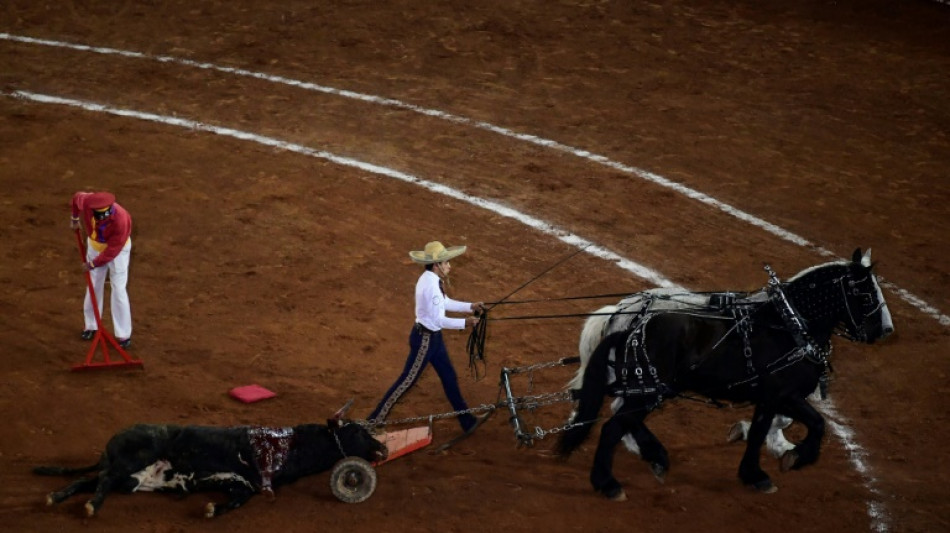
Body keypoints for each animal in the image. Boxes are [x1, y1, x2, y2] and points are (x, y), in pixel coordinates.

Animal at [33, 416, 388, 516]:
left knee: (89, 480)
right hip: (130, 462)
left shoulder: (236, 482)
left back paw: (56, 497)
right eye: (357, 431)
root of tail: (117, 436)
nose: (383, 448)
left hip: (128, 476)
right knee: (102, 480)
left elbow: (237, 499)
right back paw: (91, 506)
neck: (289, 445)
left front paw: (212, 509)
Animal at [556, 249, 892, 498]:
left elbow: (808, 422)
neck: (787, 326)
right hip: (646, 389)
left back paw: (653, 456)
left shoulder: (783, 396)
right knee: (613, 424)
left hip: (647, 388)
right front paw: (762, 468)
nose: (885, 331)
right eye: (865, 295)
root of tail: (626, 317)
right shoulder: (776, 393)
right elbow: (769, 429)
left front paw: (787, 454)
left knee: (620, 415)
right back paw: (610, 481)